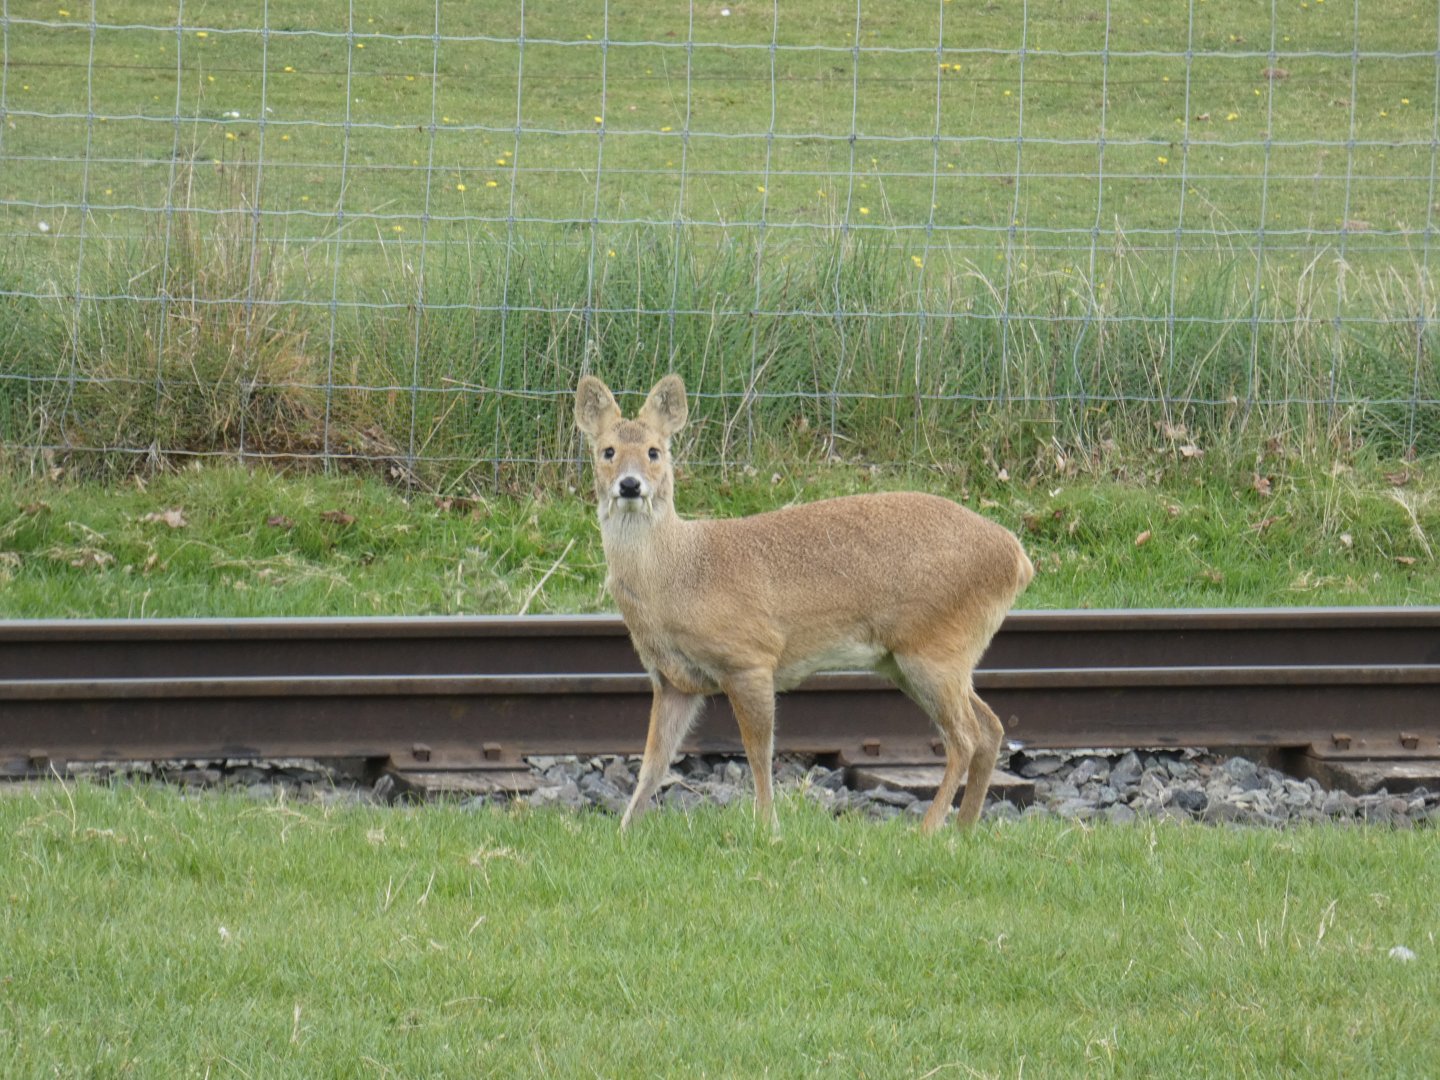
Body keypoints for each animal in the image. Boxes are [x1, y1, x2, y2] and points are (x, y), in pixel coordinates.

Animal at [574, 373, 1034, 833]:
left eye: (654, 451)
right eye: (607, 451)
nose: (630, 484)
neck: (677, 574)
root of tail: (1017, 558)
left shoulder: (750, 657)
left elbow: (759, 753)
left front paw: (768, 829)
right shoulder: (673, 680)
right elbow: (654, 762)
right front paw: (624, 830)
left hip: (935, 649)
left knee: (966, 737)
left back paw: (927, 830)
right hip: (918, 659)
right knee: (990, 728)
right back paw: (963, 830)